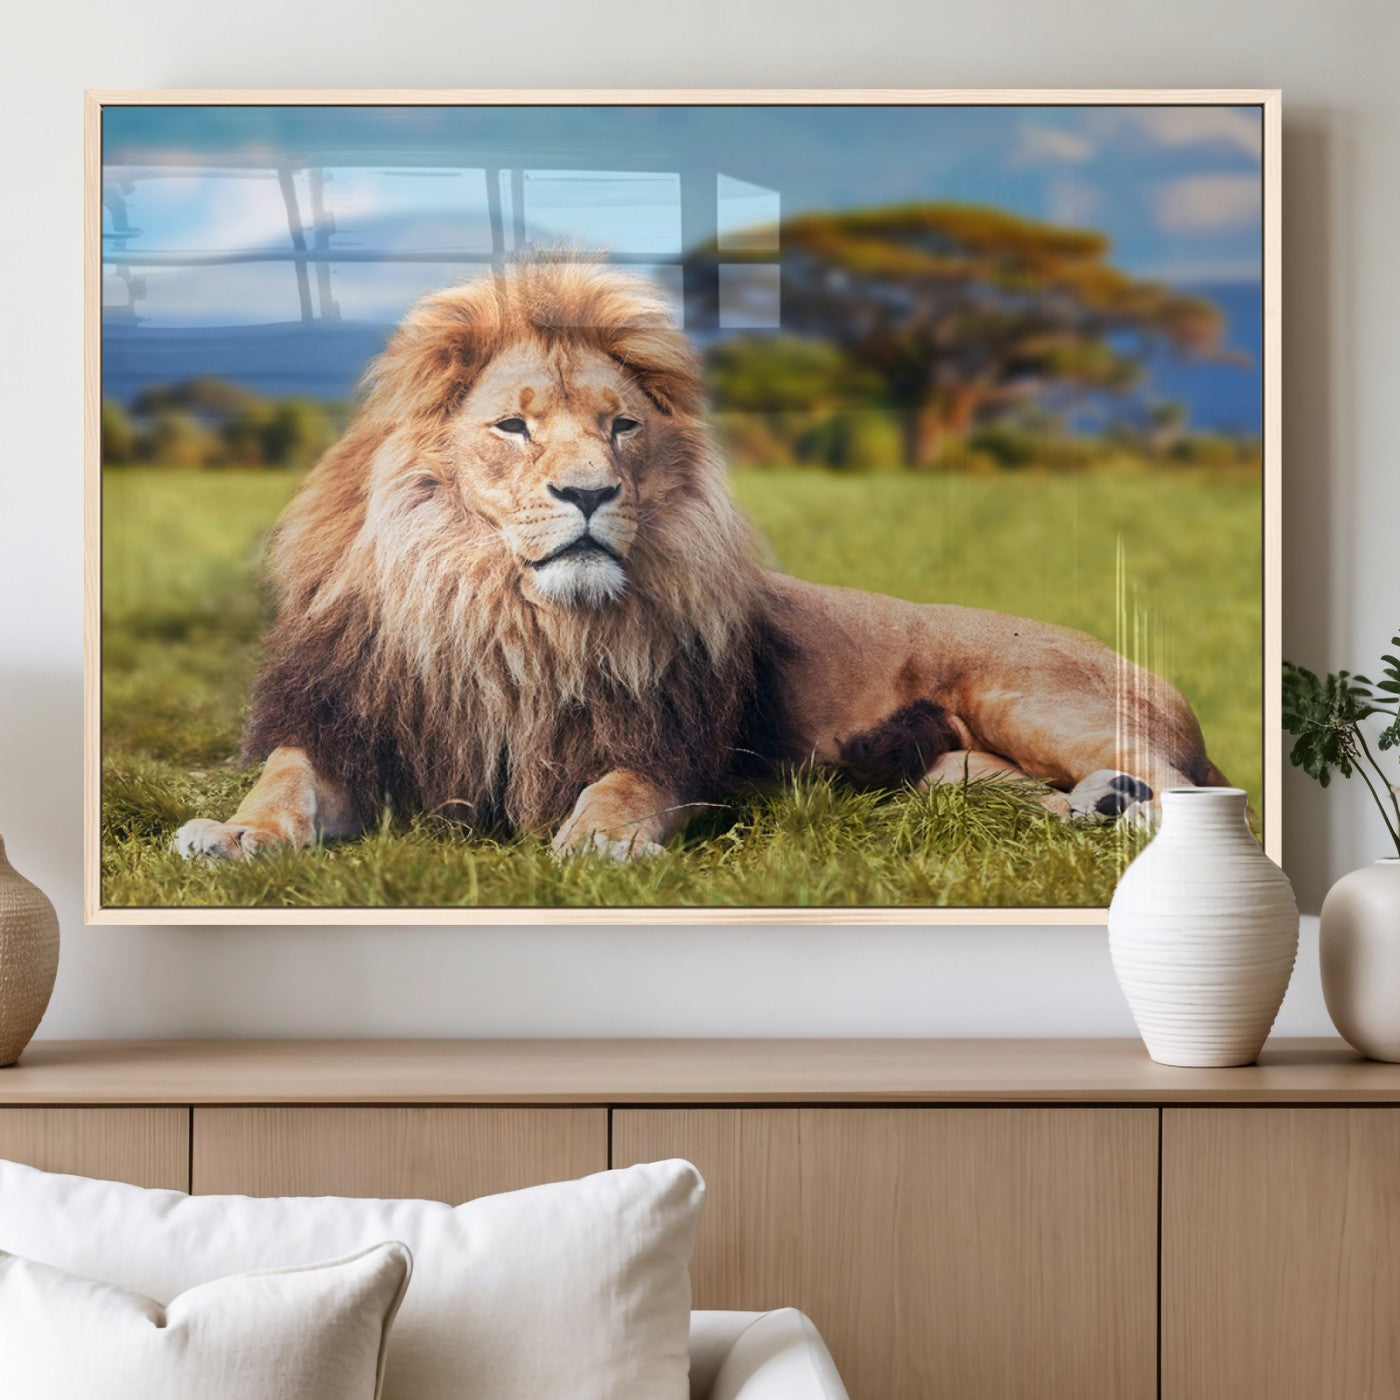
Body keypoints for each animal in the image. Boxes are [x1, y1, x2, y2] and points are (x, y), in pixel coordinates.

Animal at [173, 260, 1230, 865]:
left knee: (1198, 793)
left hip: (1030, 695)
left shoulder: (667, 744)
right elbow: (285, 784)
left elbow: (621, 788)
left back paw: (1128, 808)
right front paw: (234, 835)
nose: (590, 493)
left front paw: (599, 843)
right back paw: (1095, 810)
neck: (510, 619)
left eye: (621, 427)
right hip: (951, 774)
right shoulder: (354, 728)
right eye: (513, 426)